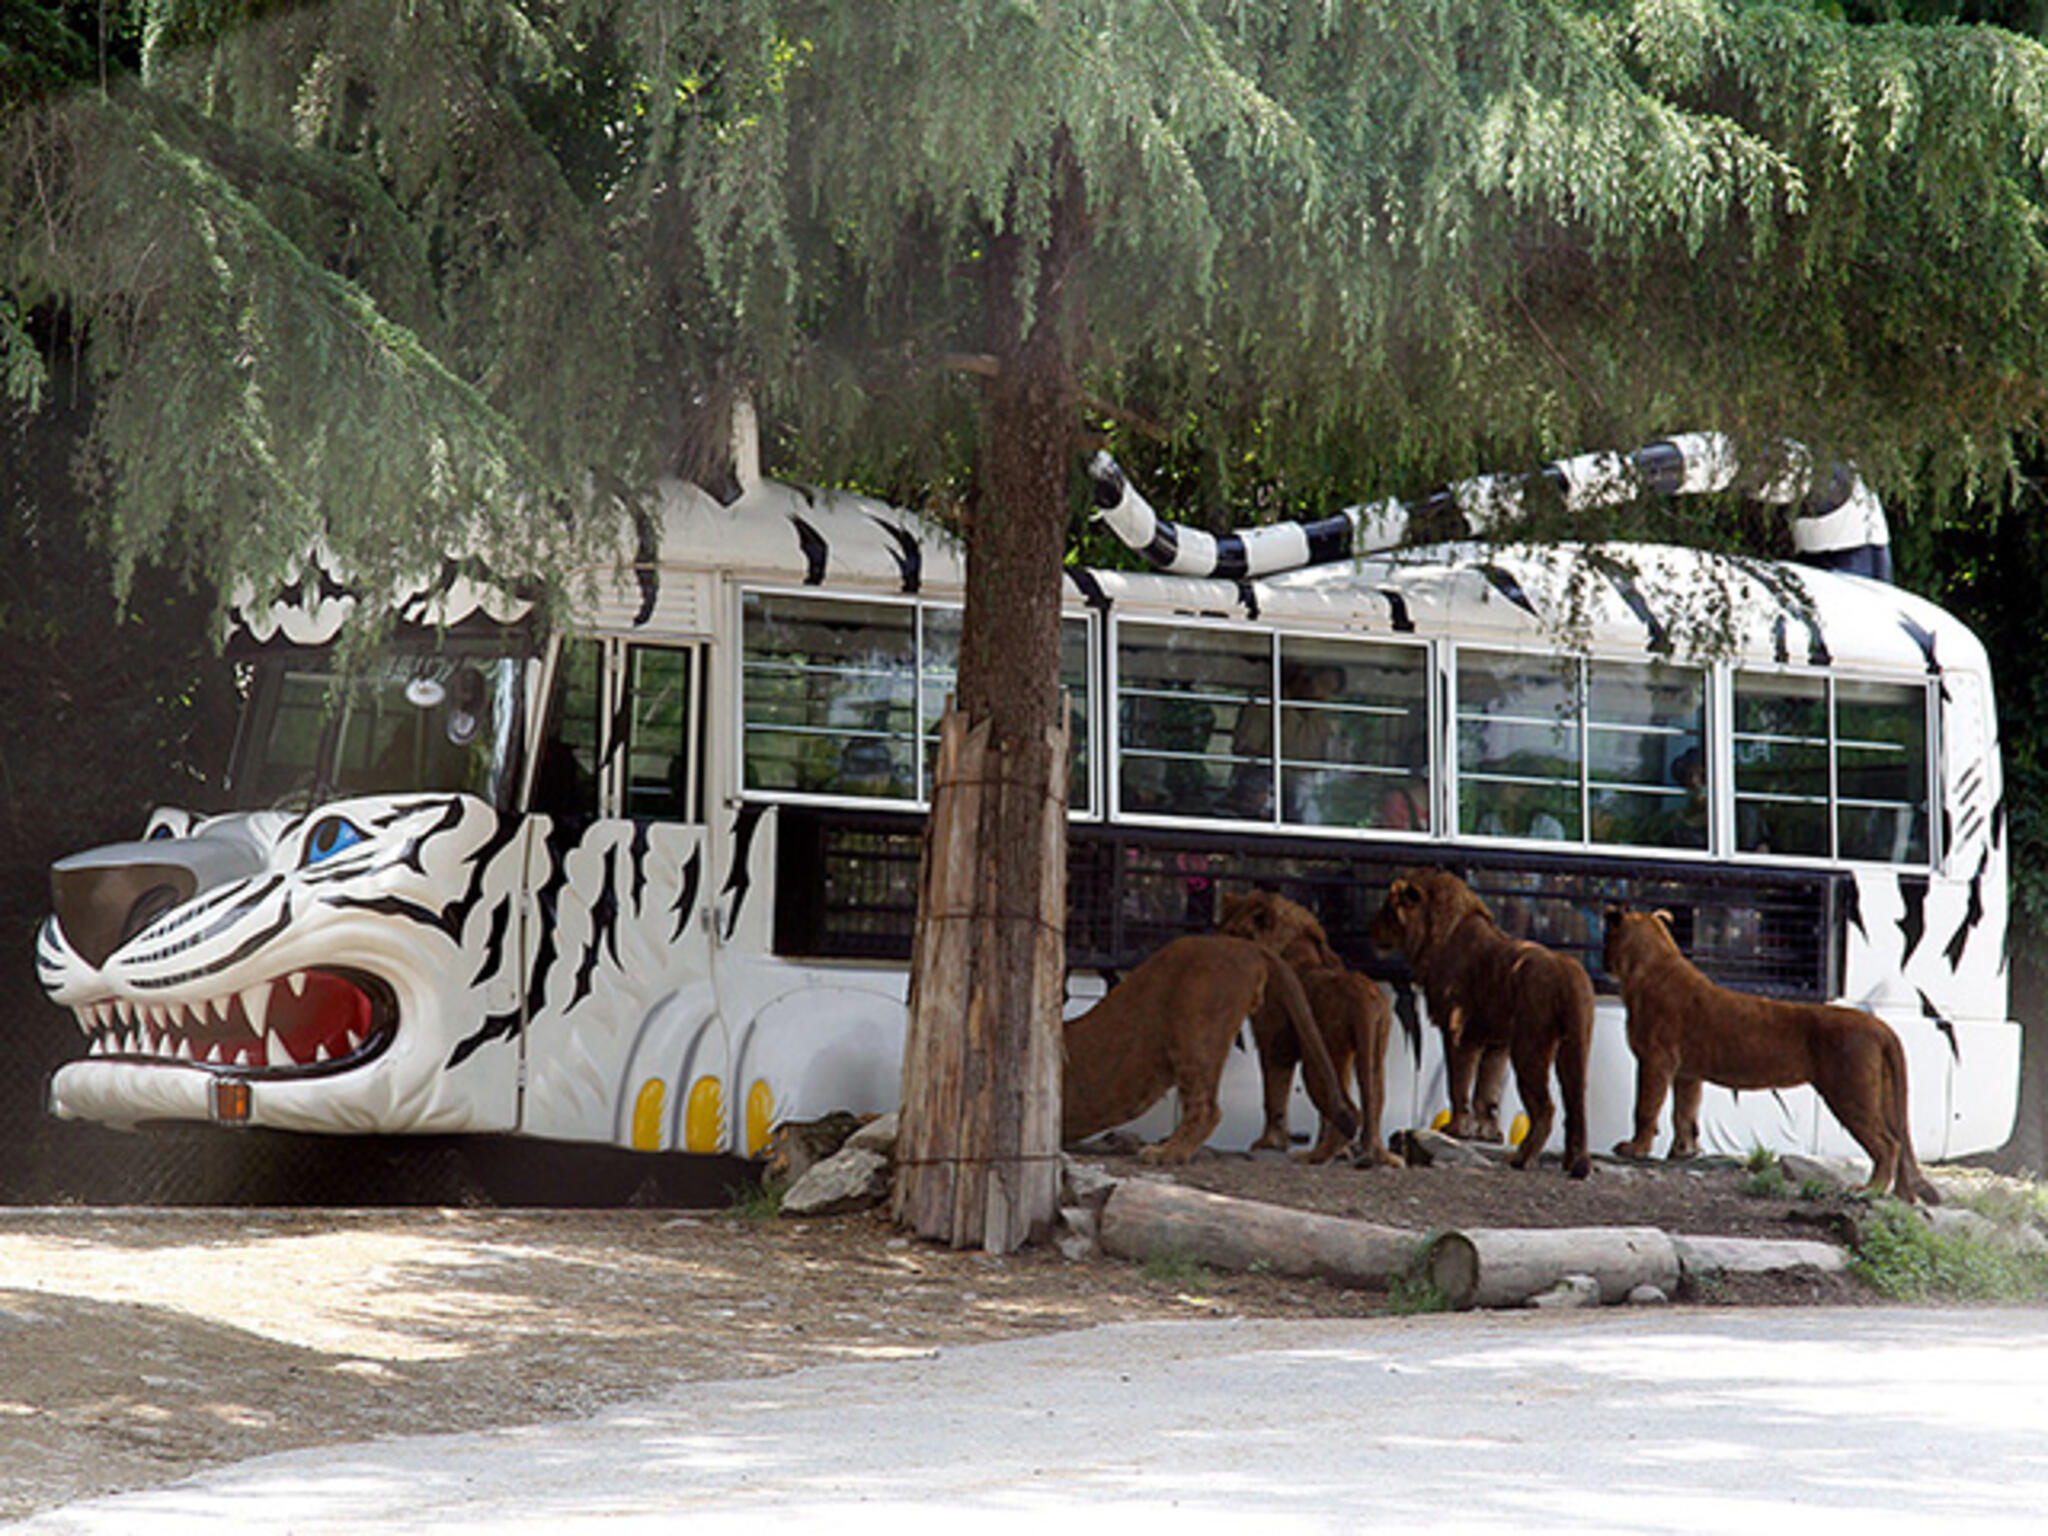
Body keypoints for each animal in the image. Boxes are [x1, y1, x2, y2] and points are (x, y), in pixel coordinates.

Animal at [1056, 933, 1359, 1171]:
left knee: (1206, 1109)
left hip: (1193, 1033)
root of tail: (1248, 946)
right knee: (1349, 1108)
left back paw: (1168, 1153)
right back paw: (1318, 1156)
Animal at [1220, 888, 1400, 1163]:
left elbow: (1273, 1096)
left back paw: (1314, 1156)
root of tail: (1362, 998)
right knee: (1373, 1107)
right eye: (1224, 930)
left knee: (1351, 1112)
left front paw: (1269, 1143)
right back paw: (1382, 1157)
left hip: (1317, 1064)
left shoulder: (1274, 1041)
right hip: (1372, 1057)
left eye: (1237, 934)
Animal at [1368, 872, 1589, 1187]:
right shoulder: (1498, 1042)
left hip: (1530, 1048)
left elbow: (1458, 1084)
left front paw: (1455, 1130)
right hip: (1574, 1046)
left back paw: (1522, 1159)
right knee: (1575, 1107)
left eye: (1388, 909)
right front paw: (1488, 1134)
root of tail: (1567, 968)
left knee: (1545, 1109)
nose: (1367, 929)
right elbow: (1488, 1092)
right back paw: (1573, 1163)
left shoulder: (1458, 1031)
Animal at [1597, 909, 1933, 1212]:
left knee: (1887, 1143)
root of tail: (1880, 1026)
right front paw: (1682, 1153)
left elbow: (1645, 1108)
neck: (1648, 965)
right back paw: (1901, 1195)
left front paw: (1634, 1149)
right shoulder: (1687, 1073)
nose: (1601, 963)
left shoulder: (1656, 1060)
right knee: (1897, 1139)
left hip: (1851, 1092)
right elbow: (1685, 1114)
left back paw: (1869, 1190)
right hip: (1882, 1094)